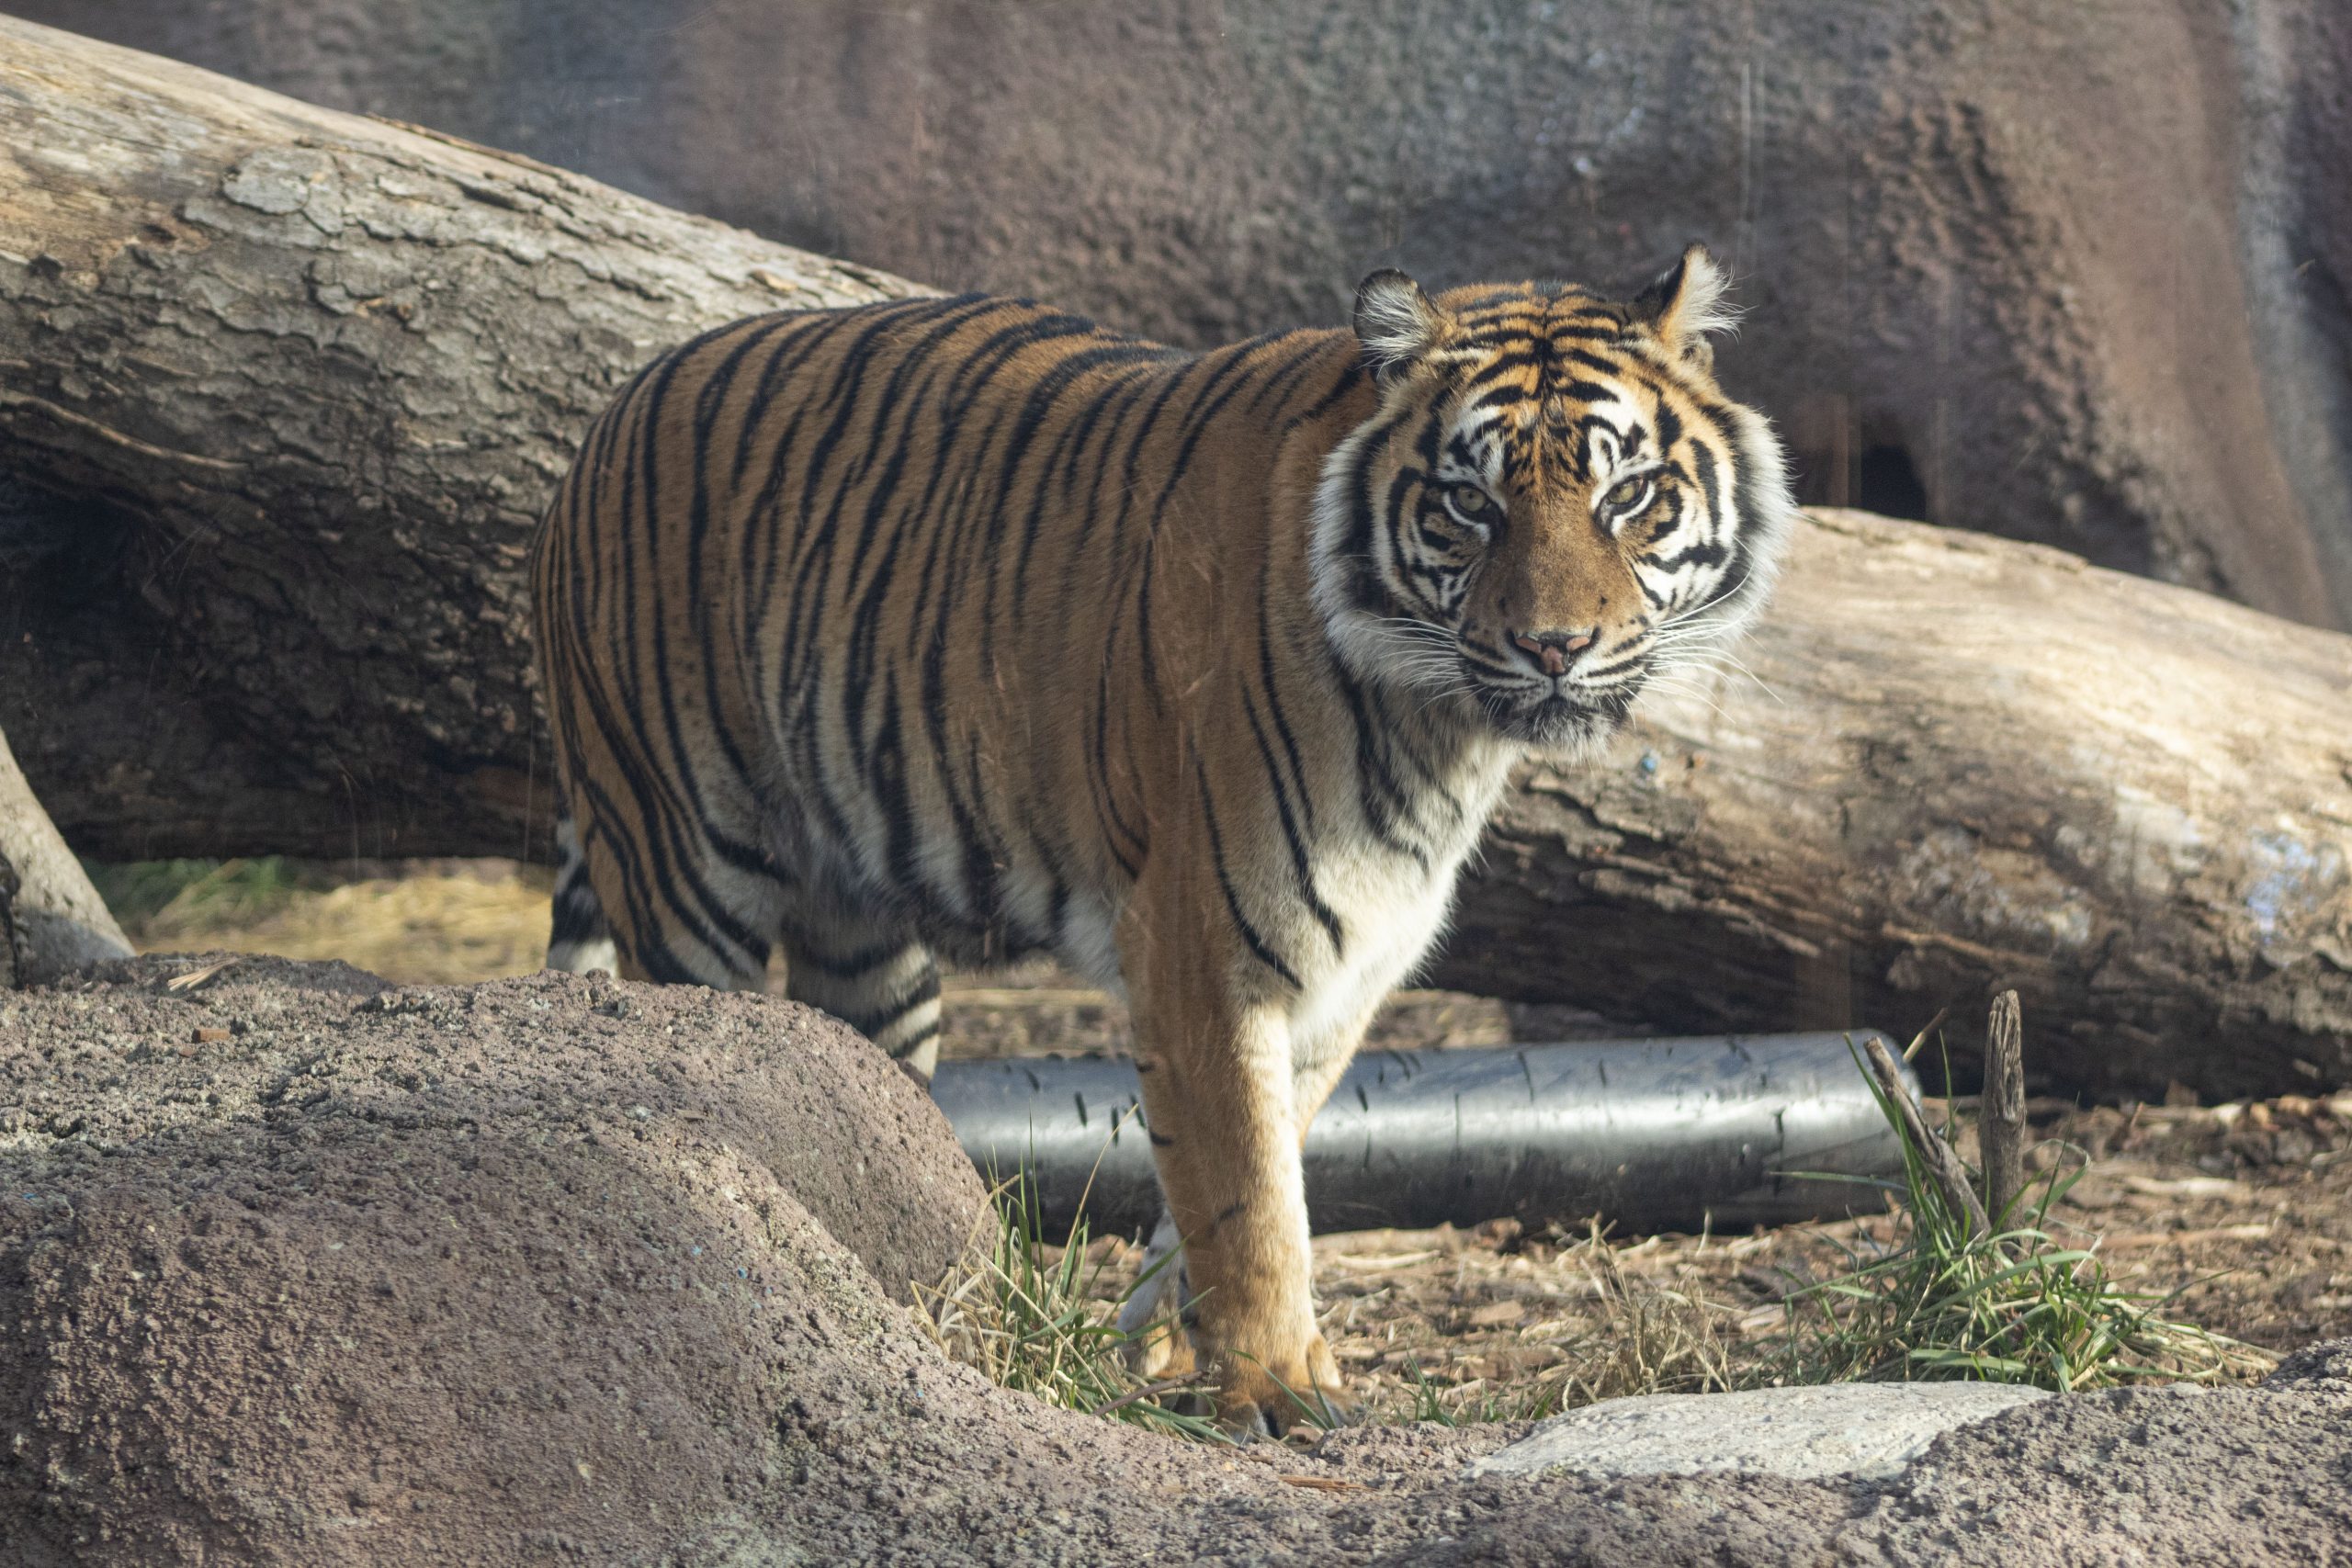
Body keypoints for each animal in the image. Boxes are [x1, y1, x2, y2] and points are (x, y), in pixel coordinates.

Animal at [524, 247, 1787, 1438]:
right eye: (1469, 505)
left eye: (1629, 494)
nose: (1554, 648)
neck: (1441, 732)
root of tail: (617, 406)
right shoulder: (1204, 945)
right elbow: (1247, 1190)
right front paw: (1277, 1387)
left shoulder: (1347, 967)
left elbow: (1248, 1167)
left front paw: (1162, 1350)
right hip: (685, 865)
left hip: (868, 950)